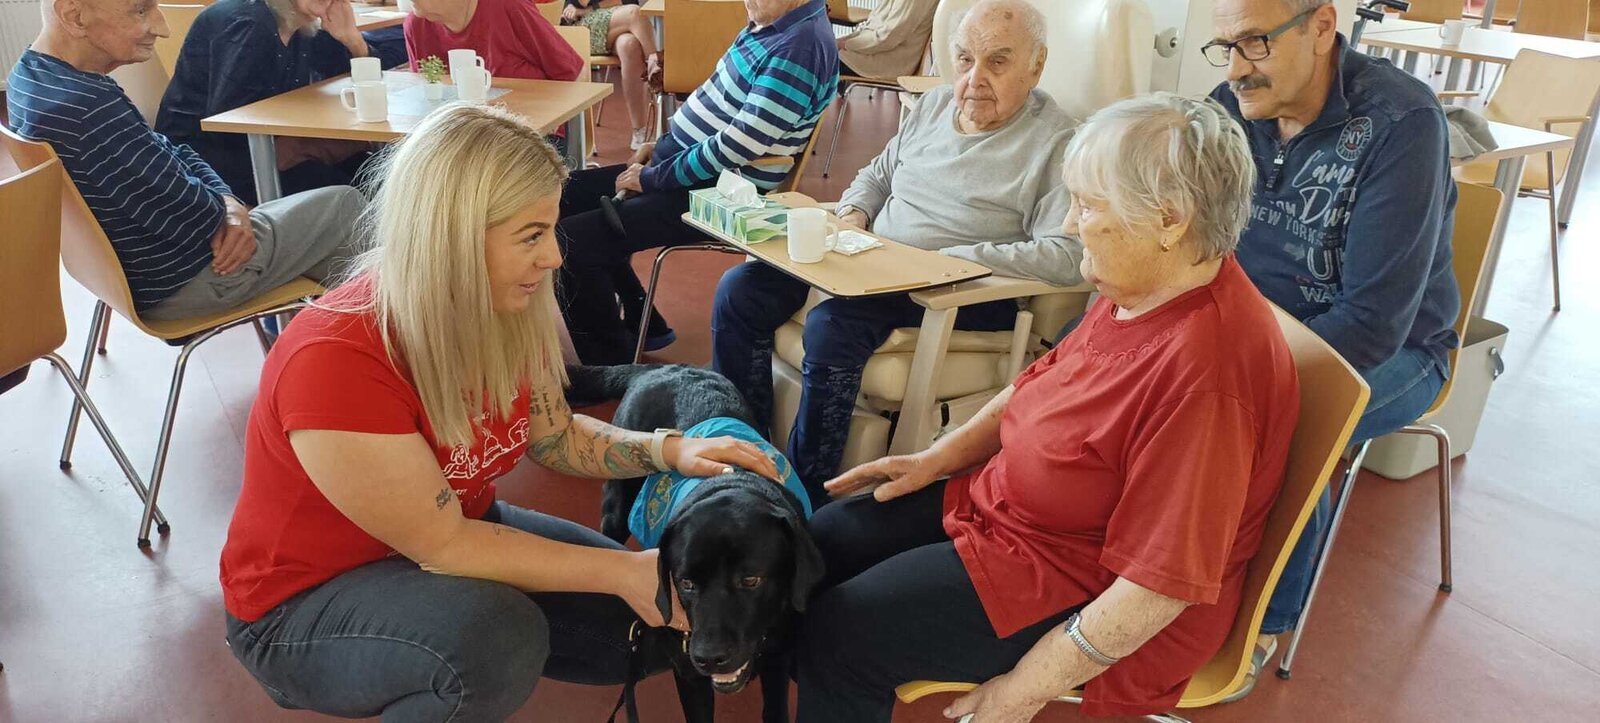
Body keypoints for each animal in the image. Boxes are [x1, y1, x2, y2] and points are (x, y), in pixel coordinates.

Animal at [566, 364, 822, 723]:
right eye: (685, 583)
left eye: (751, 580)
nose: (708, 656)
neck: (733, 481)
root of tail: (661, 368)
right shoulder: (688, 674)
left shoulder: (779, 657)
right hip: (617, 502)